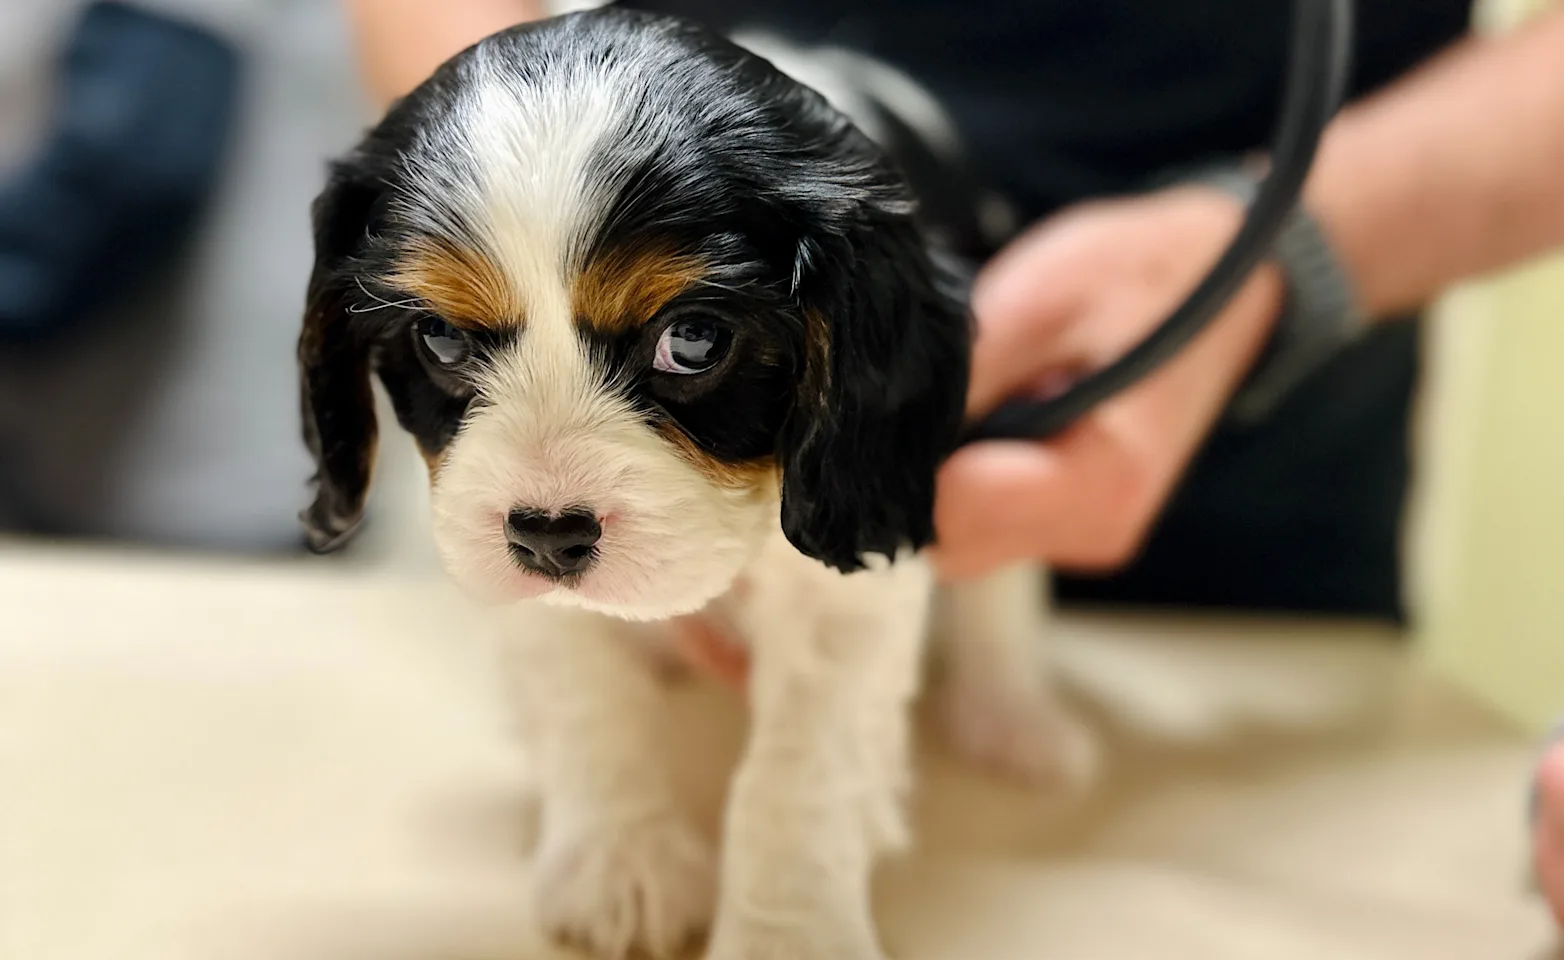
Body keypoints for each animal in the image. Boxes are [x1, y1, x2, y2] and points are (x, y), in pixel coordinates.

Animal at [298, 9, 1094, 960]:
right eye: (442, 340)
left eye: (694, 340)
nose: (548, 537)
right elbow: (587, 695)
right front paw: (620, 860)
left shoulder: (849, 578)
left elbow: (798, 774)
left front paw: (790, 935)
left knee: (1001, 587)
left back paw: (1014, 714)